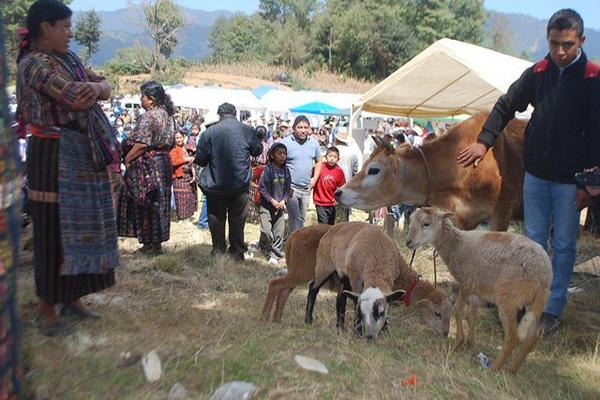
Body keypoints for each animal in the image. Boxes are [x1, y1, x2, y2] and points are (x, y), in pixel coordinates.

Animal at [258, 223, 450, 336]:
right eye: (437, 313)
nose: (446, 334)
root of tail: (293, 234)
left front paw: (383, 328)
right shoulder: (354, 278)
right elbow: (352, 301)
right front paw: (357, 330)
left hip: (304, 273)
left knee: (287, 290)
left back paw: (277, 318)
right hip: (312, 270)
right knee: (290, 286)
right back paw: (276, 318)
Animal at [404, 208, 552, 374]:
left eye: (426, 223)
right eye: (411, 220)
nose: (408, 242)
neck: (456, 245)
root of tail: (543, 269)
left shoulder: (466, 283)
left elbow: (457, 310)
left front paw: (458, 342)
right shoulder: (475, 289)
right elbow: (472, 315)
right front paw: (469, 343)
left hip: (508, 298)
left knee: (512, 336)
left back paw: (494, 368)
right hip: (535, 302)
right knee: (533, 335)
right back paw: (513, 369)